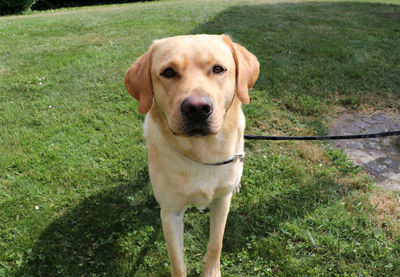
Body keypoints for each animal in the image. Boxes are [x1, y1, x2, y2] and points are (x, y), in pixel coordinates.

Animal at [123, 35, 260, 276]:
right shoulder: (170, 212)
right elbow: (177, 262)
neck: (202, 153)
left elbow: (216, 243)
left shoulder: (221, 201)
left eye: (218, 69)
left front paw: (212, 271)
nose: (197, 108)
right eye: (168, 72)